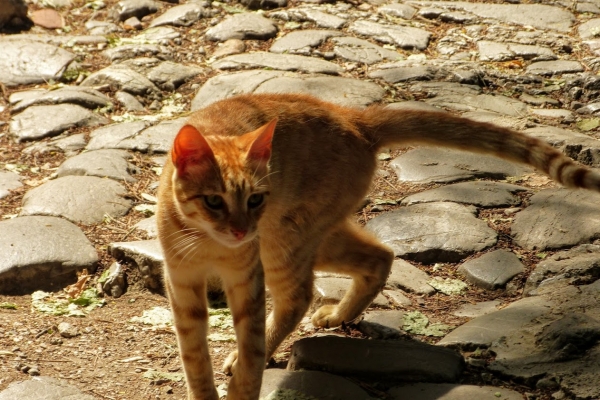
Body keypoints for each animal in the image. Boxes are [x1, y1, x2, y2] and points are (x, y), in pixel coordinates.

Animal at [156, 93, 600, 396]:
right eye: (214, 201)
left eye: (254, 200)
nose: (240, 231)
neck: (208, 244)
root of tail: (356, 118)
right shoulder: (182, 284)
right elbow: (194, 357)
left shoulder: (248, 278)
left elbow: (249, 352)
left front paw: (244, 378)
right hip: (310, 235)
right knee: (379, 256)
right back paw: (339, 315)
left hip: (282, 238)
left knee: (301, 294)